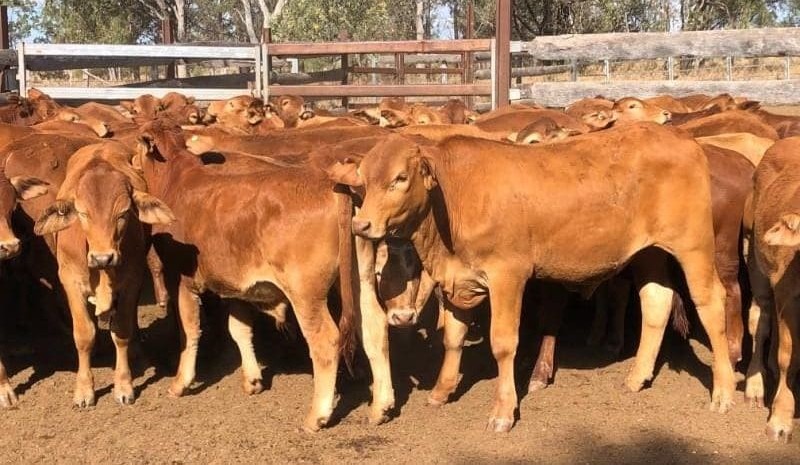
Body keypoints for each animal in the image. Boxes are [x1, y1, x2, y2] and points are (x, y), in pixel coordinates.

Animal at [33, 141, 174, 407]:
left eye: (123, 214)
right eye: (82, 213)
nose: (102, 258)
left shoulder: (132, 279)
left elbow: (122, 331)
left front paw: (124, 385)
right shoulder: (70, 281)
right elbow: (83, 335)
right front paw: (84, 389)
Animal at [331, 125, 736, 432]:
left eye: (400, 178)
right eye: (364, 181)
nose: (361, 224)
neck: (456, 198)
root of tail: (684, 139)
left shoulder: (507, 275)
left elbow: (503, 343)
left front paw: (503, 412)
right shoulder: (458, 279)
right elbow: (453, 338)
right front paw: (442, 391)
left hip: (694, 246)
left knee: (711, 303)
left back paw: (724, 391)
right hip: (648, 252)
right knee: (656, 301)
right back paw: (637, 377)